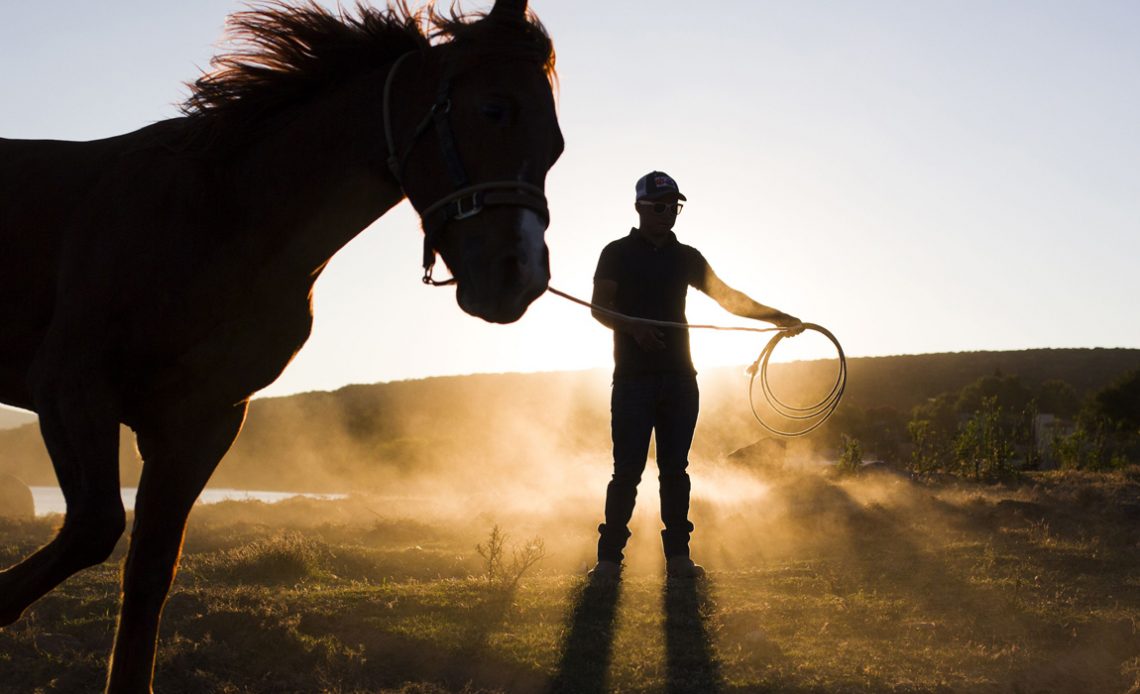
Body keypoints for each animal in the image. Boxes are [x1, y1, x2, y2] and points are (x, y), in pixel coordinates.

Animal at [0, 2, 565, 688]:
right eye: (494, 109)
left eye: (556, 146)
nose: (519, 276)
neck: (219, 219)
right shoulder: (72, 389)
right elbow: (95, 526)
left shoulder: (204, 421)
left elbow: (150, 574)